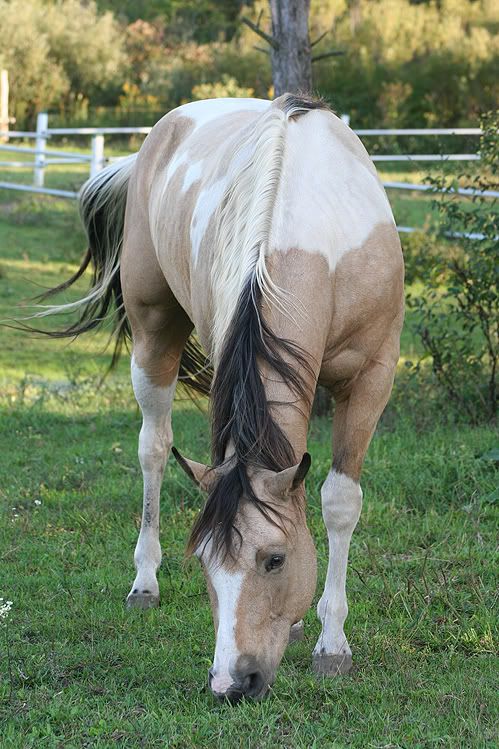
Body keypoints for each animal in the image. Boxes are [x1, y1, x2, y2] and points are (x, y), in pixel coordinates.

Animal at [26, 94, 404, 701]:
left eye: (274, 560)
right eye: (203, 562)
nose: (232, 681)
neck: (307, 237)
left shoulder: (372, 377)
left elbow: (338, 502)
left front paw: (332, 643)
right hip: (154, 333)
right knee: (154, 449)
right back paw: (144, 581)